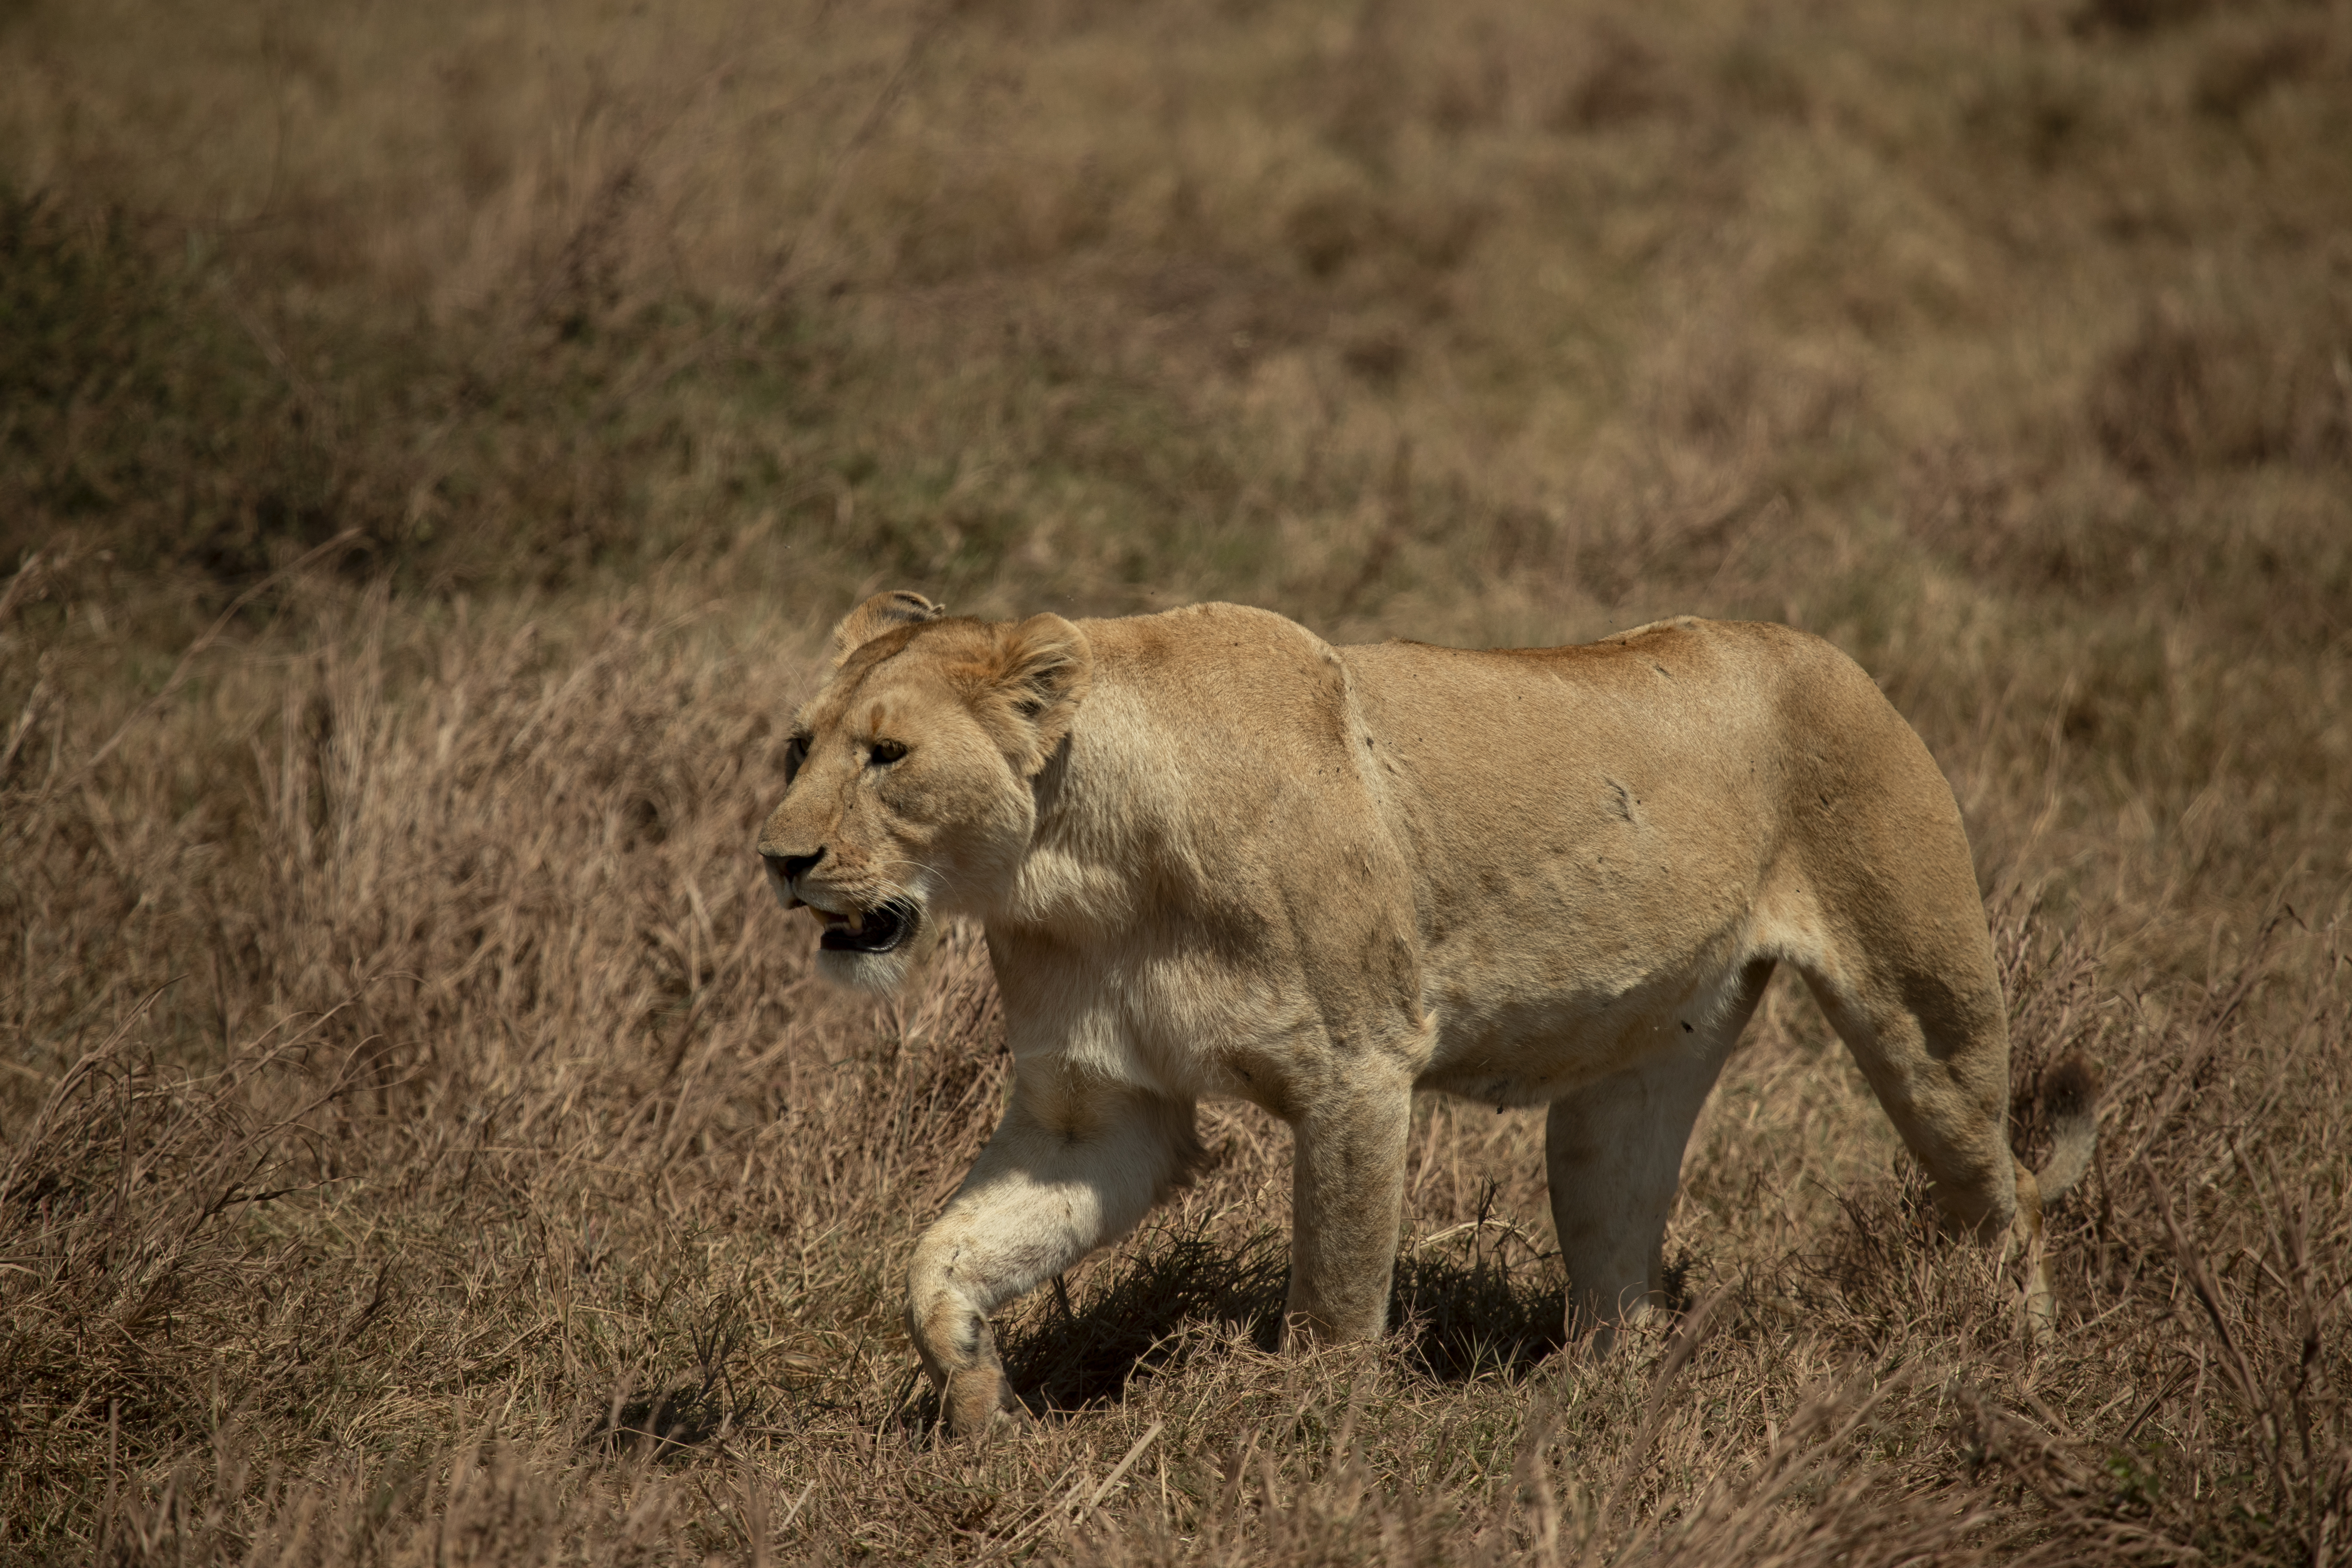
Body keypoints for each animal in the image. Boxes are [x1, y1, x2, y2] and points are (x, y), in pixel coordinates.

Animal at [756, 591, 2099, 1435]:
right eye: (794, 748)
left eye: (887, 755)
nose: (778, 858)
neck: (1075, 870)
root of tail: (1832, 653)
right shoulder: (1102, 1109)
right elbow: (939, 1261)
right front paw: (984, 1416)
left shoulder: (1357, 1069)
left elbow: (1335, 1296)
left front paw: (1299, 1441)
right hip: (1622, 1096)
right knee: (1621, 1284)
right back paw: (1585, 1411)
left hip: (1927, 1012)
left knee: (2006, 1193)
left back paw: (2024, 1368)